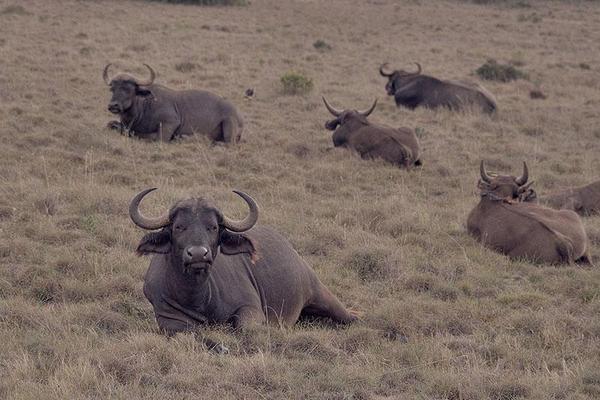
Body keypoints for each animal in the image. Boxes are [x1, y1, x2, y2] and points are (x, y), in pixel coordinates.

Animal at [103, 63, 244, 143]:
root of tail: (238, 115)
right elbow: (110, 125)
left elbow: (157, 138)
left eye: (128, 89)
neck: (143, 107)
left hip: (229, 124)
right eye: (112, 89)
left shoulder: (170, 122)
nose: (113, 106)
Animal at [131, 188, 356, 338]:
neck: (198, 297)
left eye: (213, 227)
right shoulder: (168, 320)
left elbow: (243, 327)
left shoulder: (251, 308)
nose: (197, 255)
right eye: (179, 227)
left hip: (323, 296)